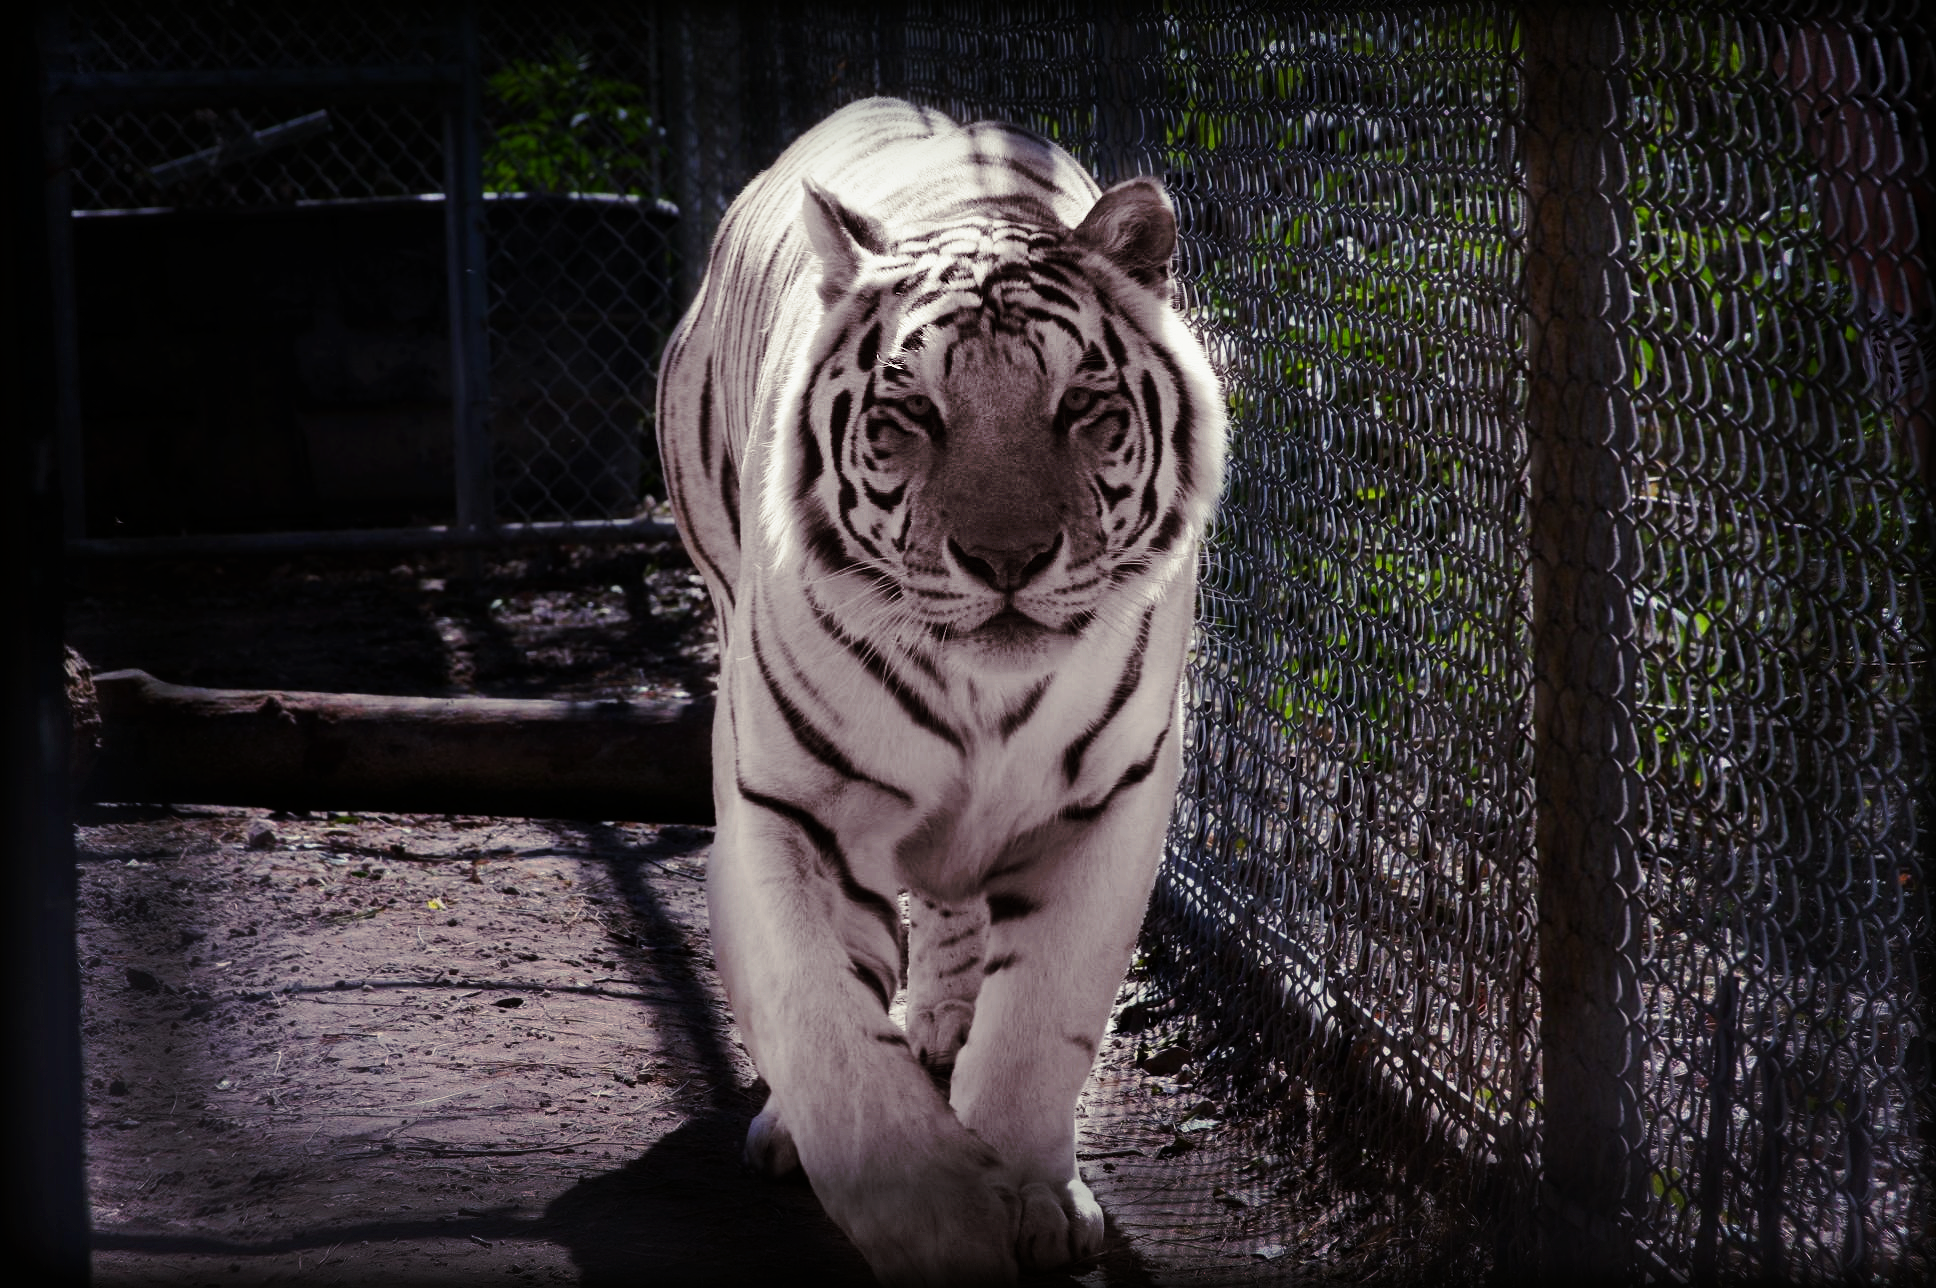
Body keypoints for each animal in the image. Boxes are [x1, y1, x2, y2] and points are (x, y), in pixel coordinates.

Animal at [650, 95, 1223, 1278]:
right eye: (910, 416)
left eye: (1081, 405)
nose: (1006, 559)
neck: (983, 698)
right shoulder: (788, 812)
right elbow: (823, 1022)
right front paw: (939, 1221)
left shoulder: (1109, 805)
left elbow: (1042, 1019)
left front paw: (1030, 1194)